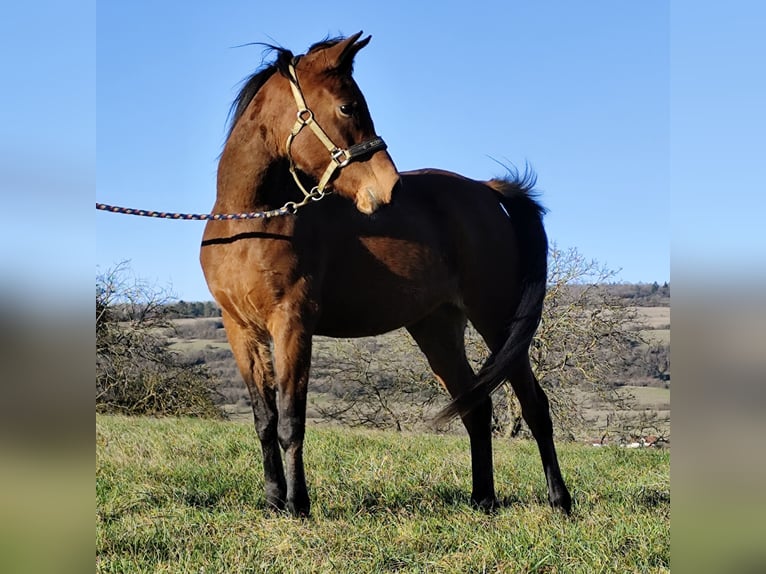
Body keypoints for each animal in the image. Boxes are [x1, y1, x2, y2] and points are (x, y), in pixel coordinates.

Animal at [200, 32, 571, 517]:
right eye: (347, 107)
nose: (389, 186)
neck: (250, 221)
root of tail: (485, 191)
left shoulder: (292, 324)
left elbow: (291, 421)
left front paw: (298, 506)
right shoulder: (239, 329)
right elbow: (265, 421)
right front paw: (274, 502)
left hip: (496, 320)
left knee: (533, 404)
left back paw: (560, 501)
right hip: (436, 328)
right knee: (476, 405)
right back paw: (482, 499)